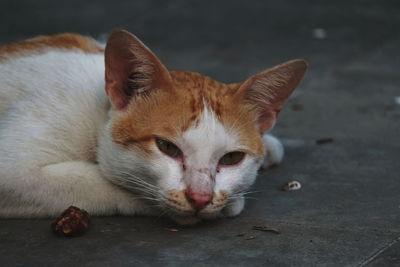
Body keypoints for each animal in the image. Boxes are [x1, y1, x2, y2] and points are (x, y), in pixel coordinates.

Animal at [0, 29, 306, 226]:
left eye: (232, 158)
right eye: (167, 147)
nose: (200, 198)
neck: (99, 111)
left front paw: (269, 145)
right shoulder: (15, 170)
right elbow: (96, 181)